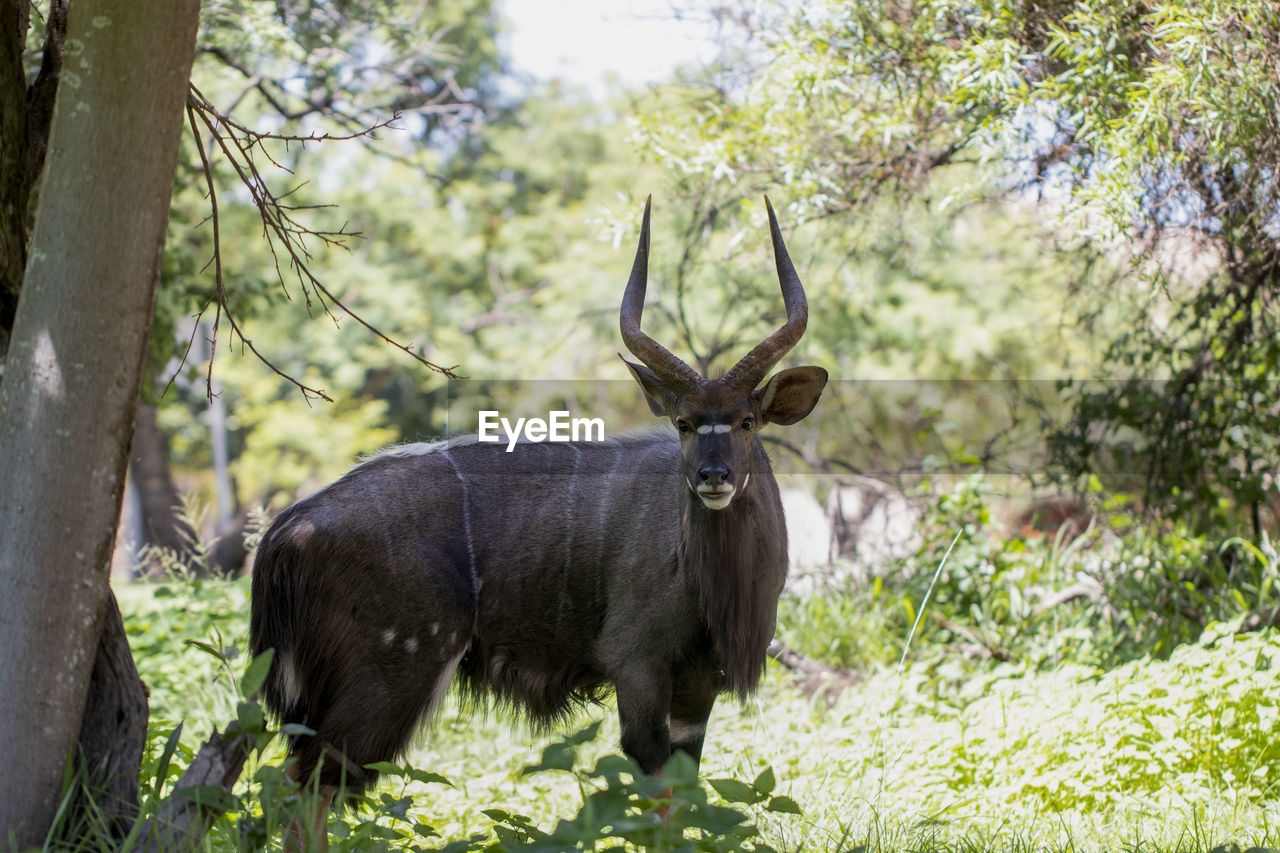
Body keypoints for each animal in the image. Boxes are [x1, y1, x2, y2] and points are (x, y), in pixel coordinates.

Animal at [249, 197, 829, 845]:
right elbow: (654, 796)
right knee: (307, 785)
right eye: (682, 422)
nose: (712, 476)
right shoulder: (637, 665)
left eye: (748, 422)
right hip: (388, 677)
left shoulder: (696, 688)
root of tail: (286, 532)